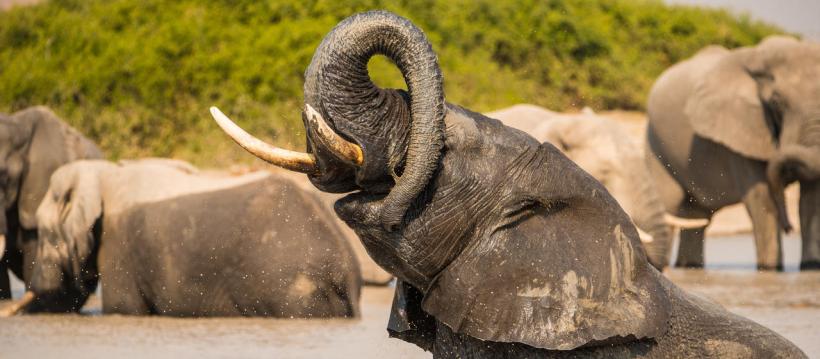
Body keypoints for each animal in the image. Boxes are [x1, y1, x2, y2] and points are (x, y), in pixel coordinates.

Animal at [1, 160, 358, 318]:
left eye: (43, 233)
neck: (104, 172)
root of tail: (344, 269)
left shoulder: (118, 244)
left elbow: (123, 307)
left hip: (291, 291)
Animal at [648, 37, 820, 272]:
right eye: (777, 103)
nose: (788, 227)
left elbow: (810, 201)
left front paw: (811, 267)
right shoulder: (739, 129)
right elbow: (763, 200)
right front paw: (770, 270)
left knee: (697, 217)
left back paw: (689, 267)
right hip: (657, 143)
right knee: (669, 204)